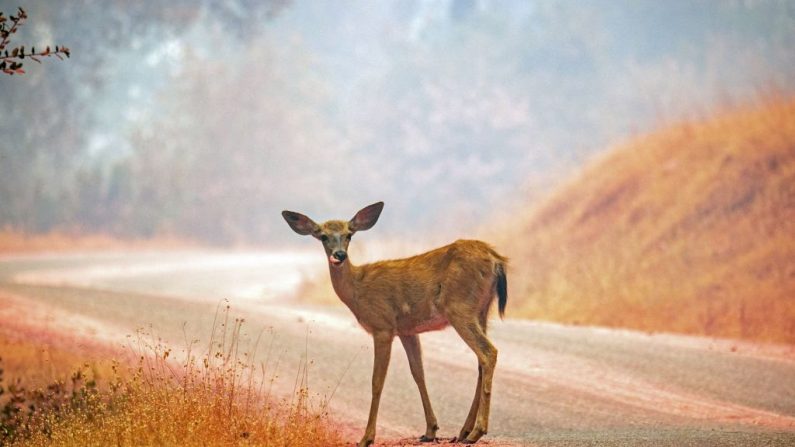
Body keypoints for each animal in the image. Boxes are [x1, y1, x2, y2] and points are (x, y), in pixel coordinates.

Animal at [282, 204, 506, 447]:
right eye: (323, 236)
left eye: (349, 235)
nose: (340, 255)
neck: (357, 289)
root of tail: (496, 259)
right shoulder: (407, 330)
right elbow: (418, 373)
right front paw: (430, 430)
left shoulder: (383, 326)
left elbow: (376, 381)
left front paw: (366, 438)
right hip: (482, 311)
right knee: (480, 362)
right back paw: (464, 431)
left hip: (460, 308)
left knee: (488, 352)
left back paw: (476, 432)